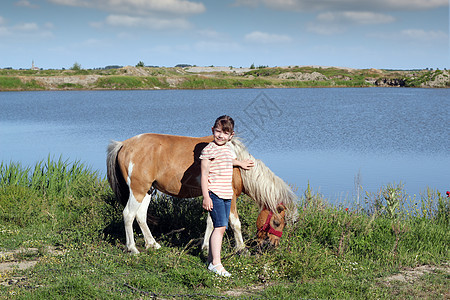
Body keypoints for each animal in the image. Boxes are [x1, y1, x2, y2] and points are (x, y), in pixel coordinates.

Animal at [106, 134, 298, 253]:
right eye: (277, 222)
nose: (272, 246)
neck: (236, 164)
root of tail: (123, 144)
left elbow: (212, 222)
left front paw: (206, 246)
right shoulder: (230, 198)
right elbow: (235, 223)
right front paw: (241, 248)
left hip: (147, 191)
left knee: (140, 216)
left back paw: (152, 244)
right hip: (138, 190)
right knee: (128, 215)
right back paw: (132, 248)